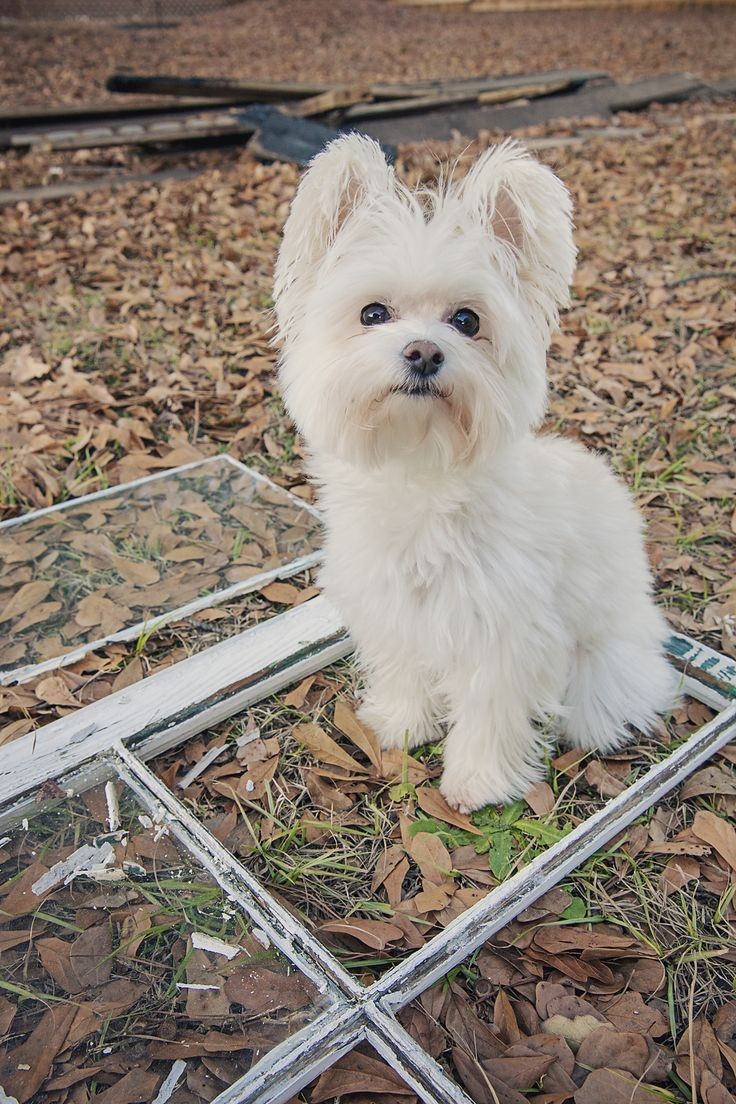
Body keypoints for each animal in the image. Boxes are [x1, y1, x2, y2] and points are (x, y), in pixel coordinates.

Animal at [272, 135, 679, 812]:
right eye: (373, 313)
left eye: (467, 321)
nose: (423, 352)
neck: (422, 470)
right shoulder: (394, 611)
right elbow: (405, 668)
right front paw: (404, 721)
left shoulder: (506, 634)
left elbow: (490, 709)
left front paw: (478, 780)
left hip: (603, 658)